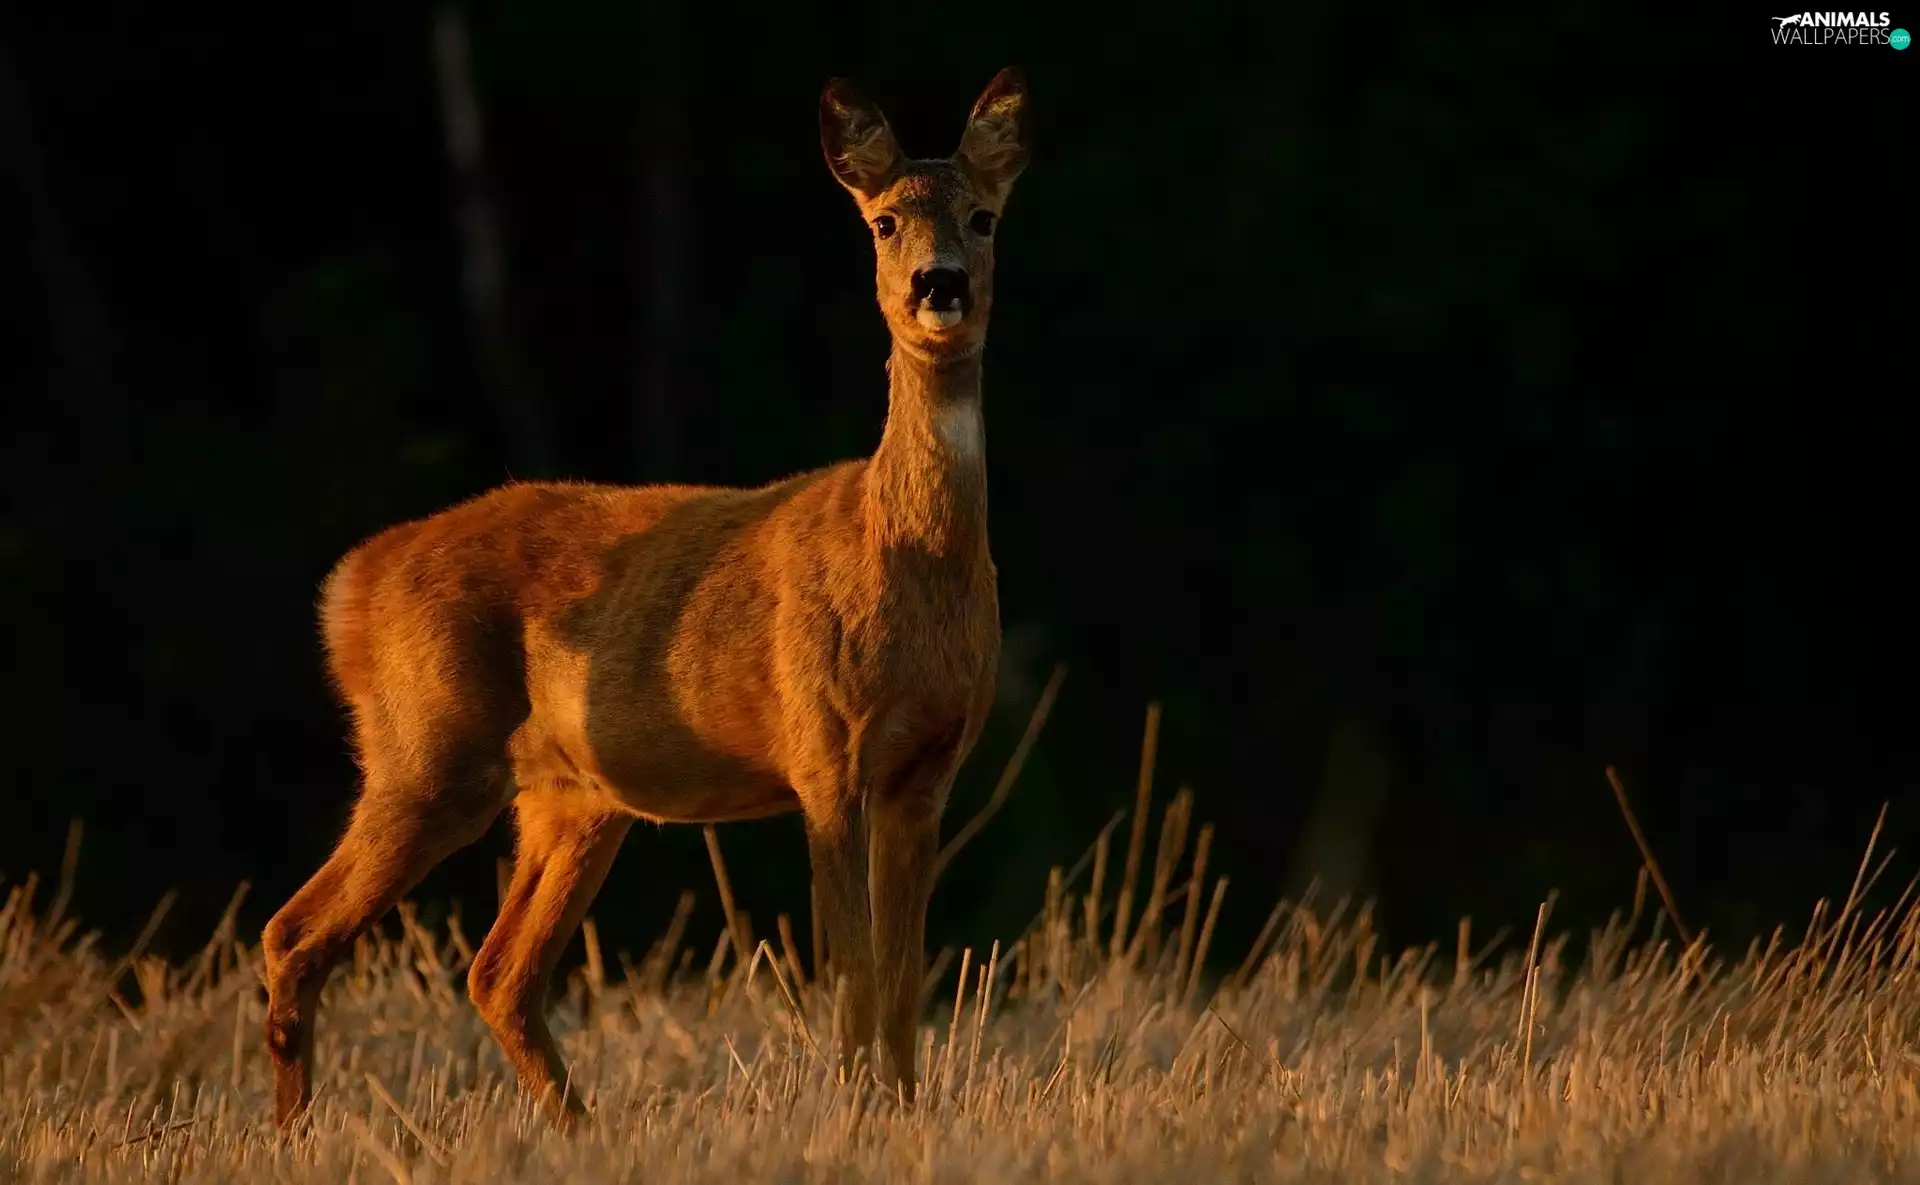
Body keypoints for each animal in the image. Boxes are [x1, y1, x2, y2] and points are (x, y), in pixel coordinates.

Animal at [259, 67, 1032, 1129]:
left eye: (985, 217)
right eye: (882, 223)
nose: (939, 284)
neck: (903, 554)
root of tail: (349, 583)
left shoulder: (928, 770)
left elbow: (906, 977)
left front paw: (904, 1115)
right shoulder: (821, 748)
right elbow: (852, 972)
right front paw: (849, 1116)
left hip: (573, 797)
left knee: (498, 970)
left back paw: (575, 1126)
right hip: (425, 749)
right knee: (295, 931)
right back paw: (295, 1132)